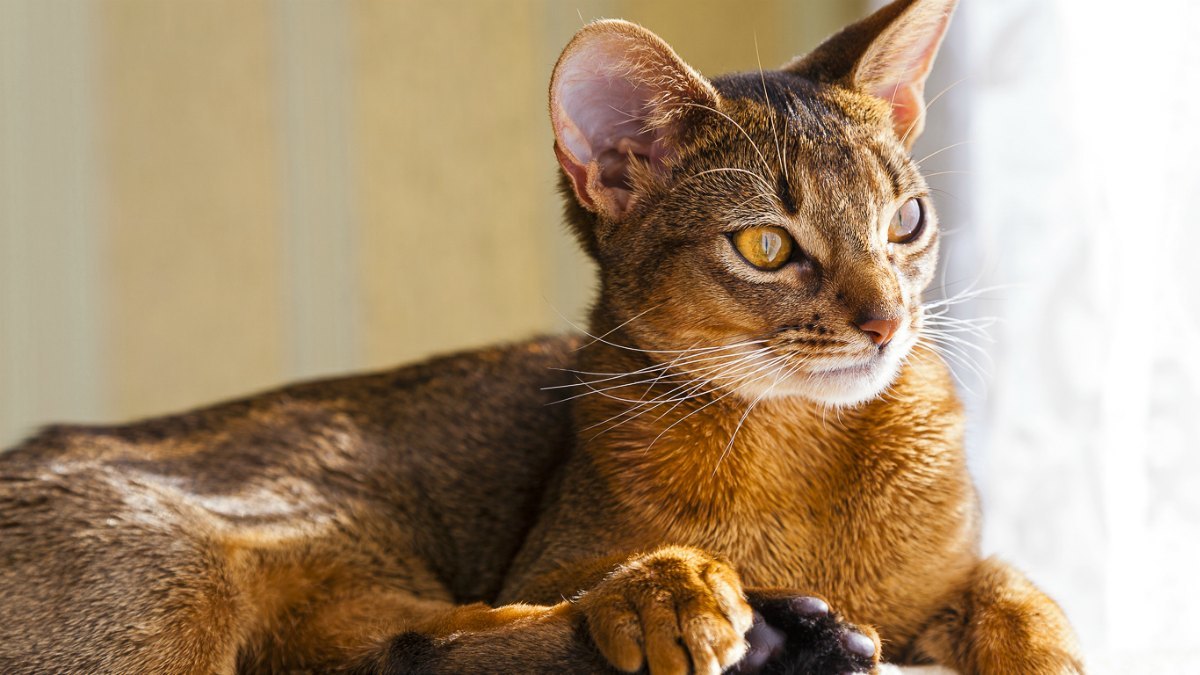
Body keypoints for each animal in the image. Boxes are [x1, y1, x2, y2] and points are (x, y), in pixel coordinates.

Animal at [0, 1, 1089, 672]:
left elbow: (1019, 592)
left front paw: (1045, 648)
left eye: (905, 222)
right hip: (191, 571)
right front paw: (665, 590)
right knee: (408, 650)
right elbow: (597, 581)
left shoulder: (955, 574)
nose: (885, 319)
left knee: (392, 651)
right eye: (765, 246)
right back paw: (783, 637)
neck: (810, 463)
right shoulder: (545, 560)